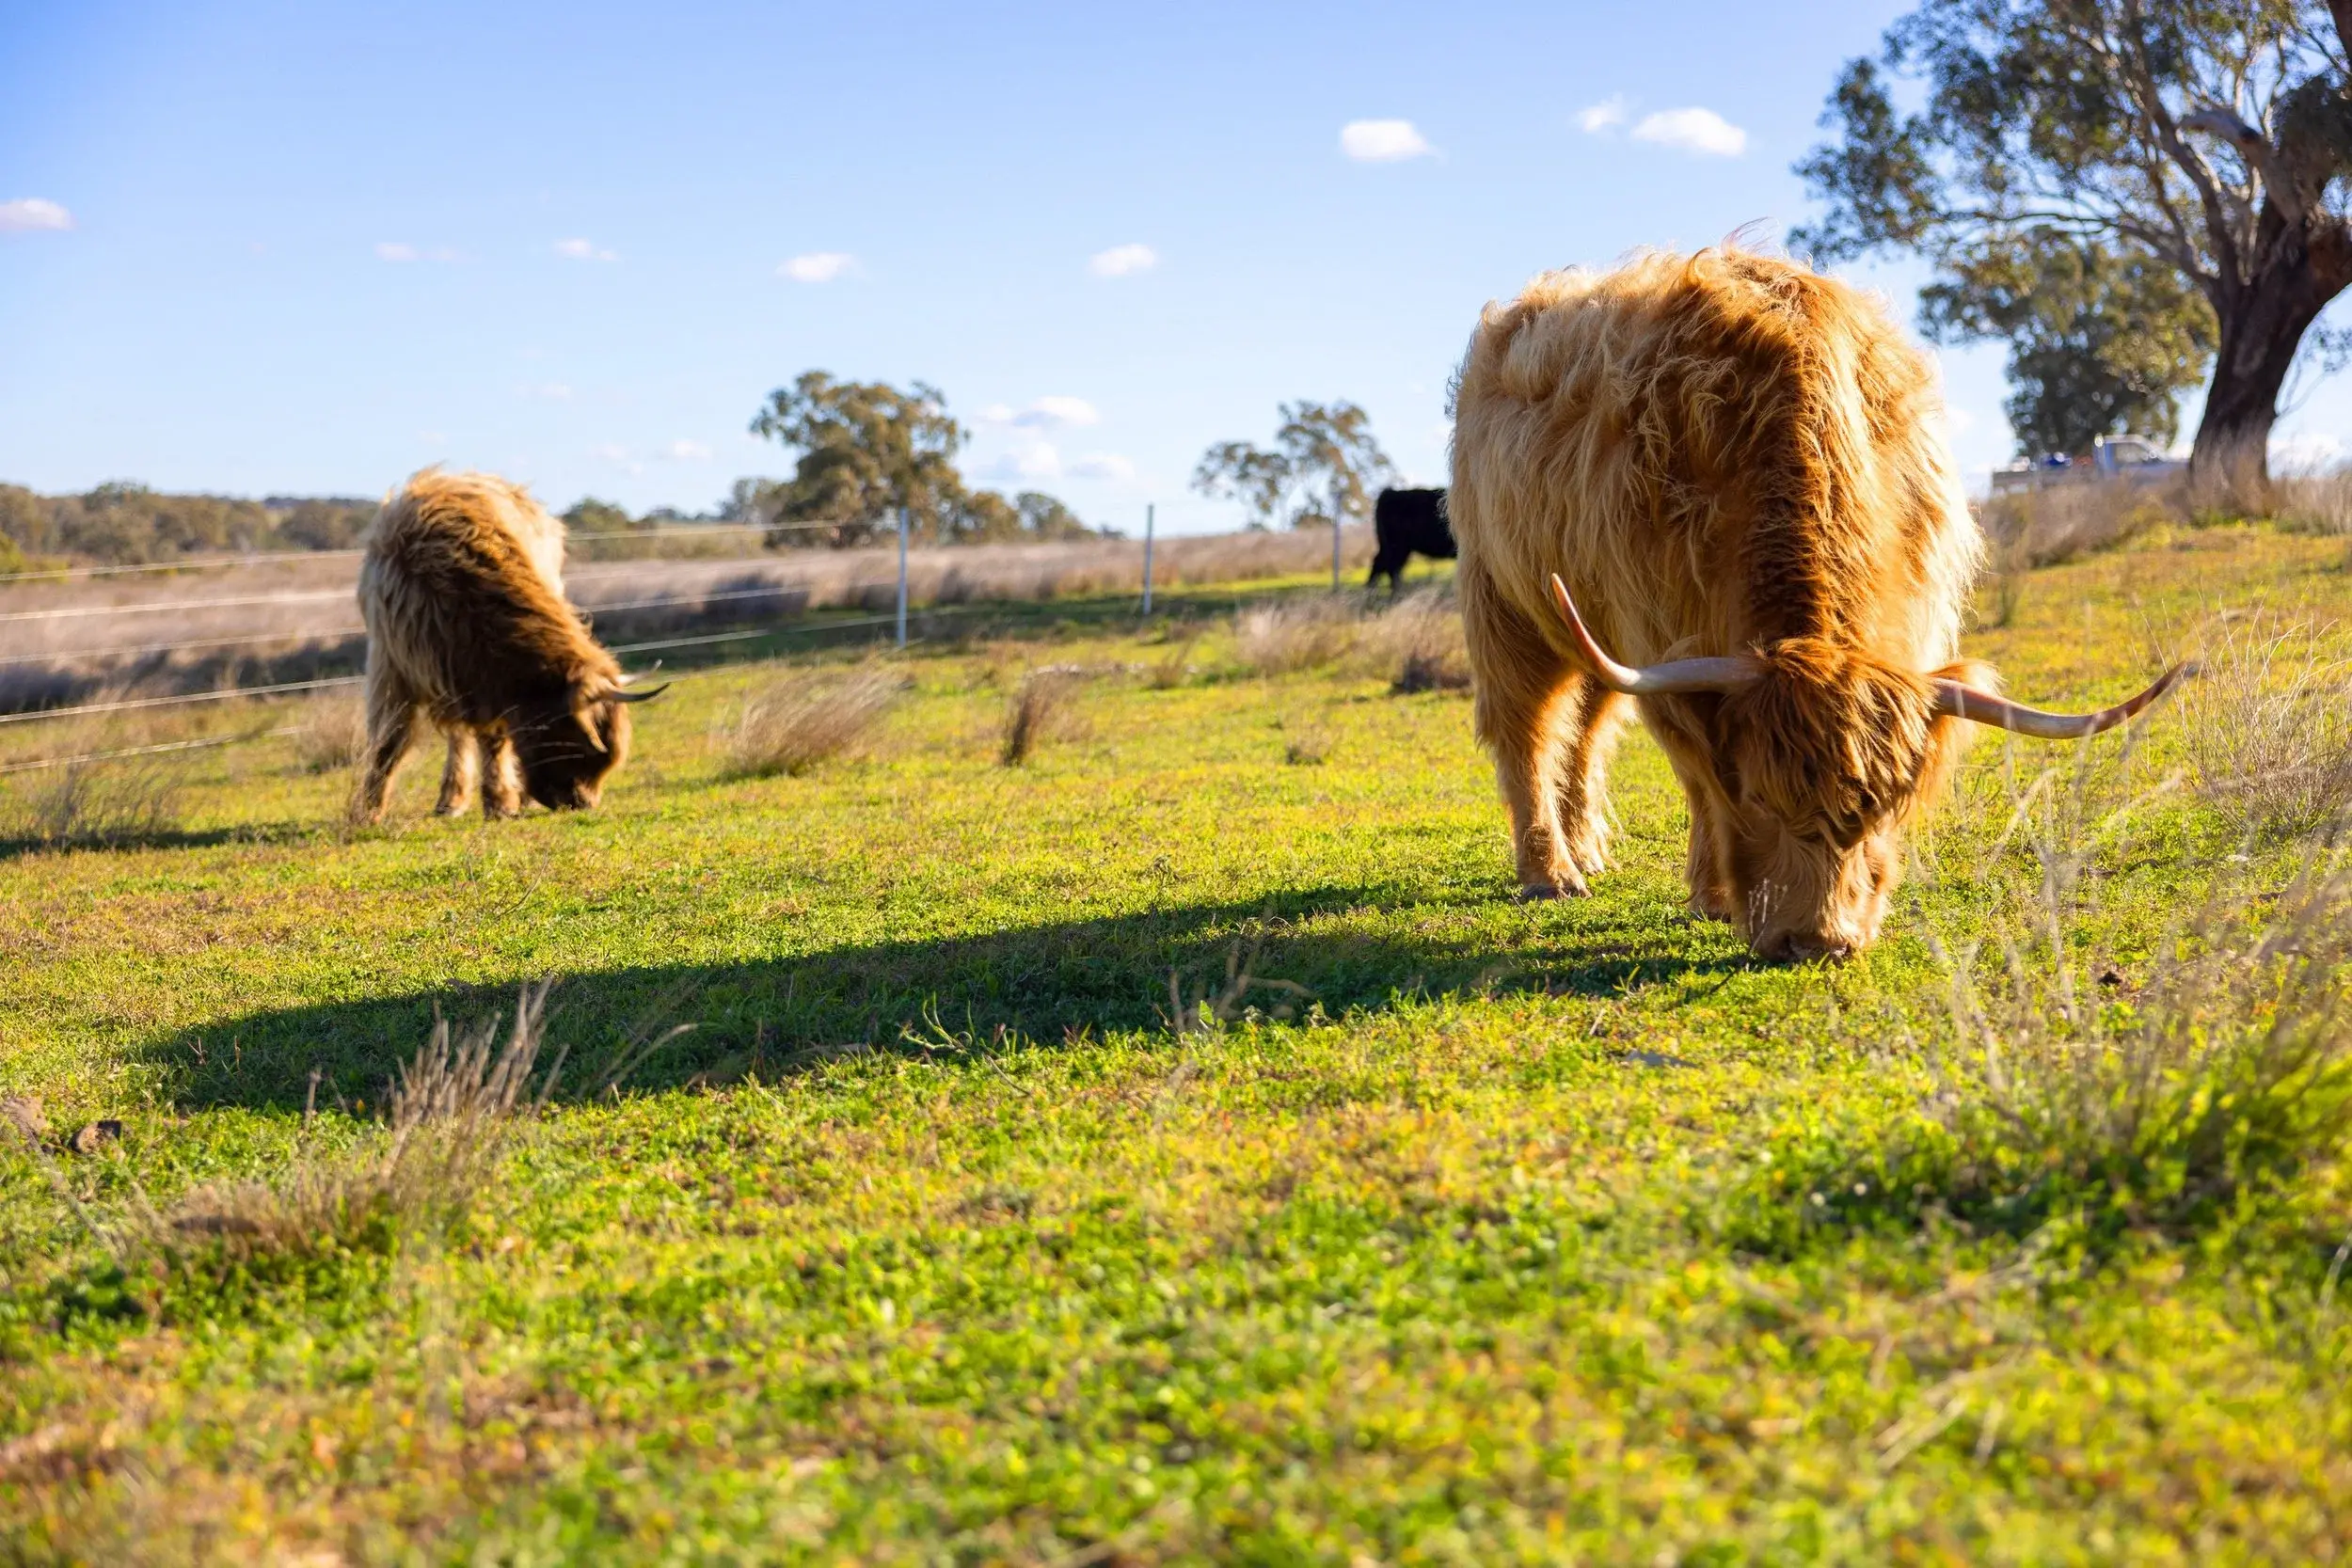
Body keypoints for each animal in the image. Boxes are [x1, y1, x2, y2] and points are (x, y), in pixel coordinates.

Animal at [351, 468, 663, 824]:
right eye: (577, 743)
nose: (582, 803)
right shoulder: (393, 663)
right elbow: (389, 742)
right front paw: (368, 811)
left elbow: (494, 737)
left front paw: (501, 801)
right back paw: (451, 800)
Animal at [1448, 249, 2190, 960]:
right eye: (1759, 795)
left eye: (1878, 807)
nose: (1814, 942)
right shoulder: (1663, 645)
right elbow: (1699, 777)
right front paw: (1713, 895)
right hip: (1504, 604)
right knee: (1527, 731)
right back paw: (1550, 872)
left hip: (1588, 624)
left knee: (1586, 731)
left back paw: (1589, 851)